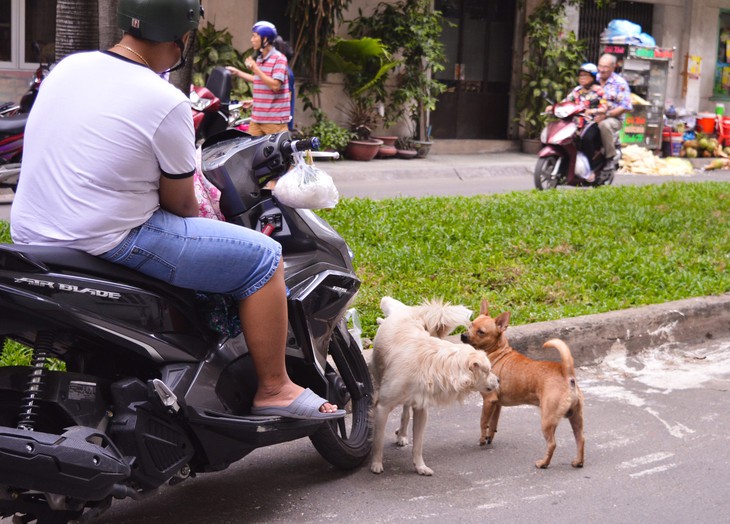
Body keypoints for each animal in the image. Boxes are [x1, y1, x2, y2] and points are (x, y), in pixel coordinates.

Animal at [370, 298, 500, 474]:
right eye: (487, 371)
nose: (499, 380)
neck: (434, 366)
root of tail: (408, 312)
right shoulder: (382, 408)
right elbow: (379, 439)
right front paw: (376, 464)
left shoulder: (421, 410)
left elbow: (418, 444)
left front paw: (420, 467)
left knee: (405, 412)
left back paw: (402, 434)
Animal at [460, 300, 584, 468]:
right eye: (471, 325)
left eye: (481, 332)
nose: (463, 335)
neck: (497, 352)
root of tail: (567, 374)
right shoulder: (496, 404)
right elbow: (493, 423)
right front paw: (489, 437)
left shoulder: (488, 400)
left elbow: (483, 422)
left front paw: (481, 439)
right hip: (576, 418)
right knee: (581, 439)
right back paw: (578, 461)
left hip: (547, 420)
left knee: (552, 444)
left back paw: (543, 463)